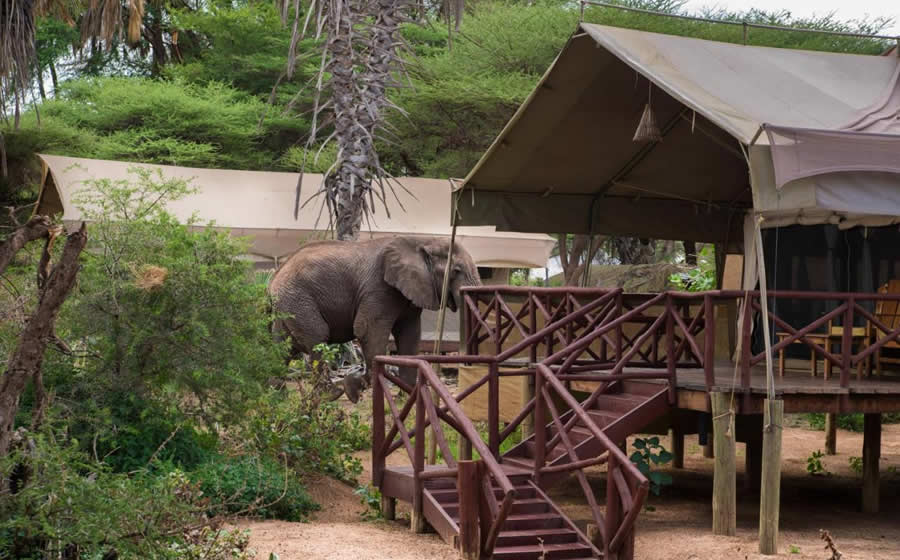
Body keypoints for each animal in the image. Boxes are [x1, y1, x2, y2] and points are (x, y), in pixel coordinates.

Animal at [268, 236, 481, 402]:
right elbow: (367, 329)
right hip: (298, 299)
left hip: (287, 305)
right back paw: (332, 394)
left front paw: (408, 395)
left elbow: (410, 334)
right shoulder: (379, 288)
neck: (421, 241)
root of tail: (274, 278)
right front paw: (356, 388)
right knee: (317, 338)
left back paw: (277, 395)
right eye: (457, 271)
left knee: (284, 346)